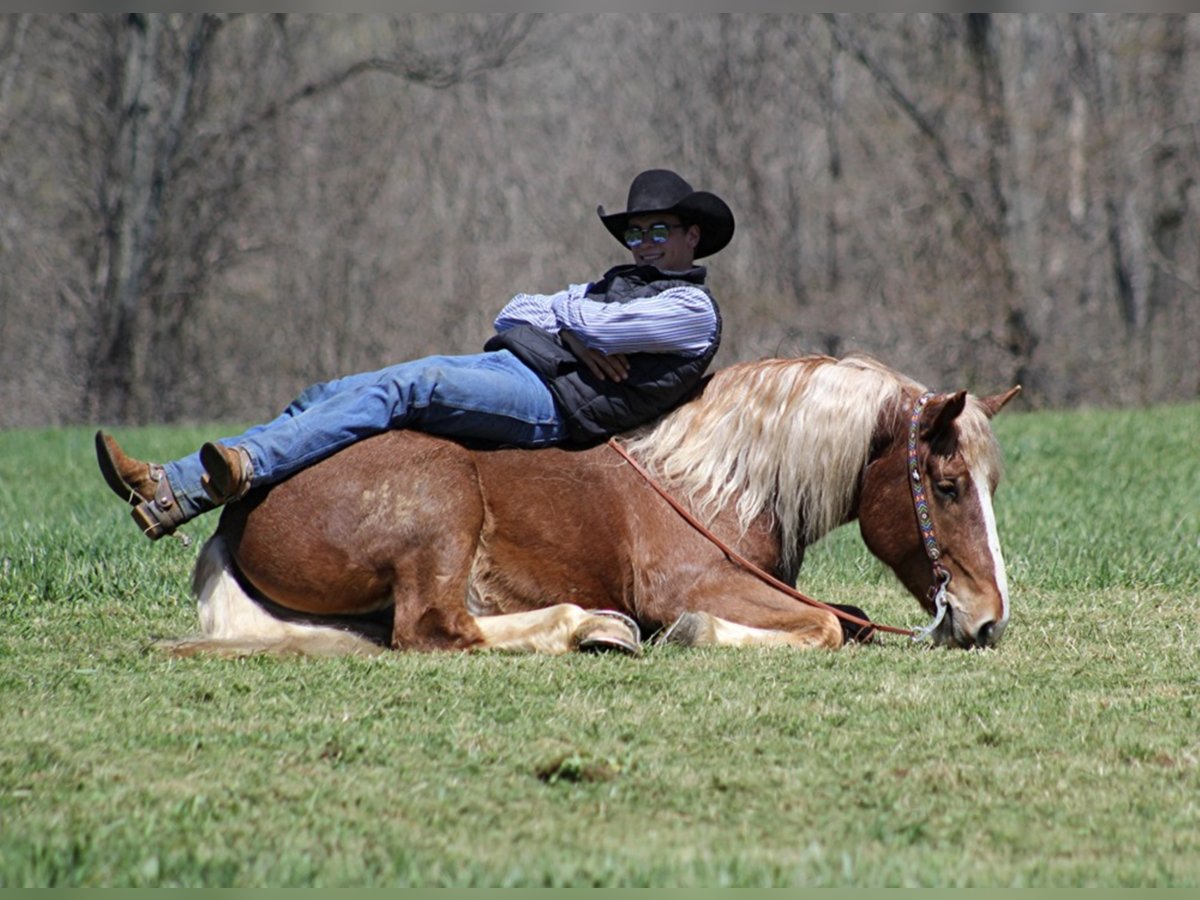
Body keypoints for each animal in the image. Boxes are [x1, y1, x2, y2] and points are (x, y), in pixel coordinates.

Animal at [162, 355, 1022, 657]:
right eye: (947, 486)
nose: (987, 620)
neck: (716, 479)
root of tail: (243, 504)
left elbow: (847, 616)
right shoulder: (703, 584)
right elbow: (827, 627)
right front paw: (690, 633)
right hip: (441, 513)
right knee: (434, 630)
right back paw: (592, 627)